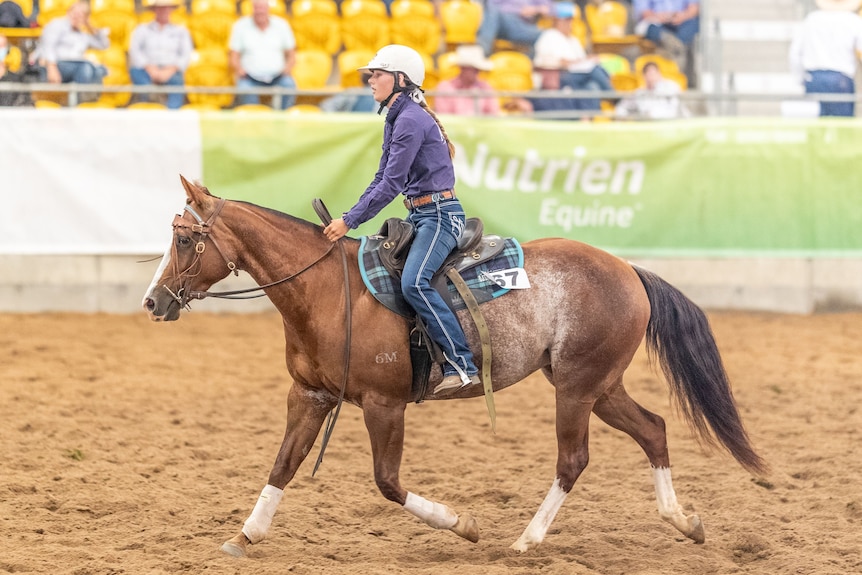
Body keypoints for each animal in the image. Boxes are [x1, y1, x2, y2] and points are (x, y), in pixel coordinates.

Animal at [143, 177, 768, 560]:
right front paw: (245, 534)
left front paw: (462, 524)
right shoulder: (310, 395)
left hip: (576, 389)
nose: (153, 302)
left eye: (185, 238)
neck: (326, 291)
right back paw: (683, 522)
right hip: (599, 386)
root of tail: (629, 270)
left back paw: (526, 541)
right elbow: (283, 464)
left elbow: (388, 483)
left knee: (574, 459)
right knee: (653, 430)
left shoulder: (384, 405)